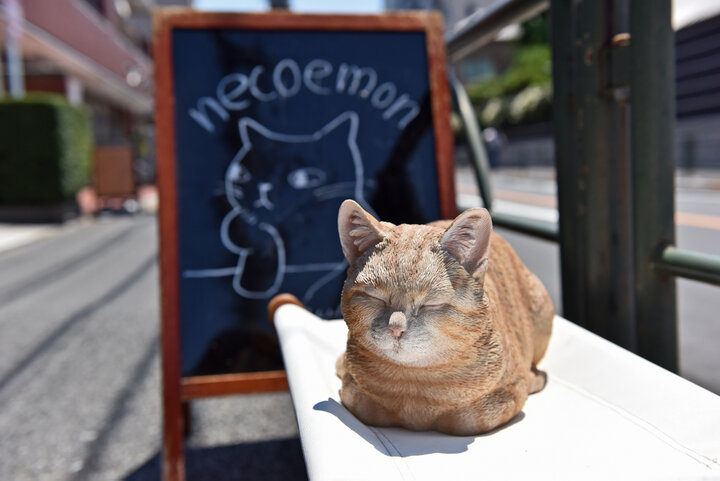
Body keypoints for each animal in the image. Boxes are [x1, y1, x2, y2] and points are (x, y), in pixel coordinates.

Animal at [334, 199, 556, 436]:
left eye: (431, 304)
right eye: (375, 297)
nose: (395, 329)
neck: (413, 380)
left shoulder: (510, 391)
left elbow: (465, 418)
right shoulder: (351, 385)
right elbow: (362, 403)